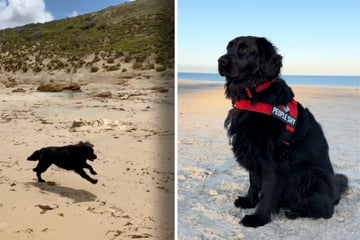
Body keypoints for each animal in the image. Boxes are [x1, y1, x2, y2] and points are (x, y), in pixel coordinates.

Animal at [218, 35, 348, 227]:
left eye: (243, 50)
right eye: (228, 48)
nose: (220, 61)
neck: (255, 94)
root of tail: (335, 194)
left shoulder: (271, 159)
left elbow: (268, 189)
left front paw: (259, 217)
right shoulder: (252, 150)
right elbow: (254, 181)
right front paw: (249, 201)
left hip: (311, 175)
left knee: (325, 210)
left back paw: (294, 212)